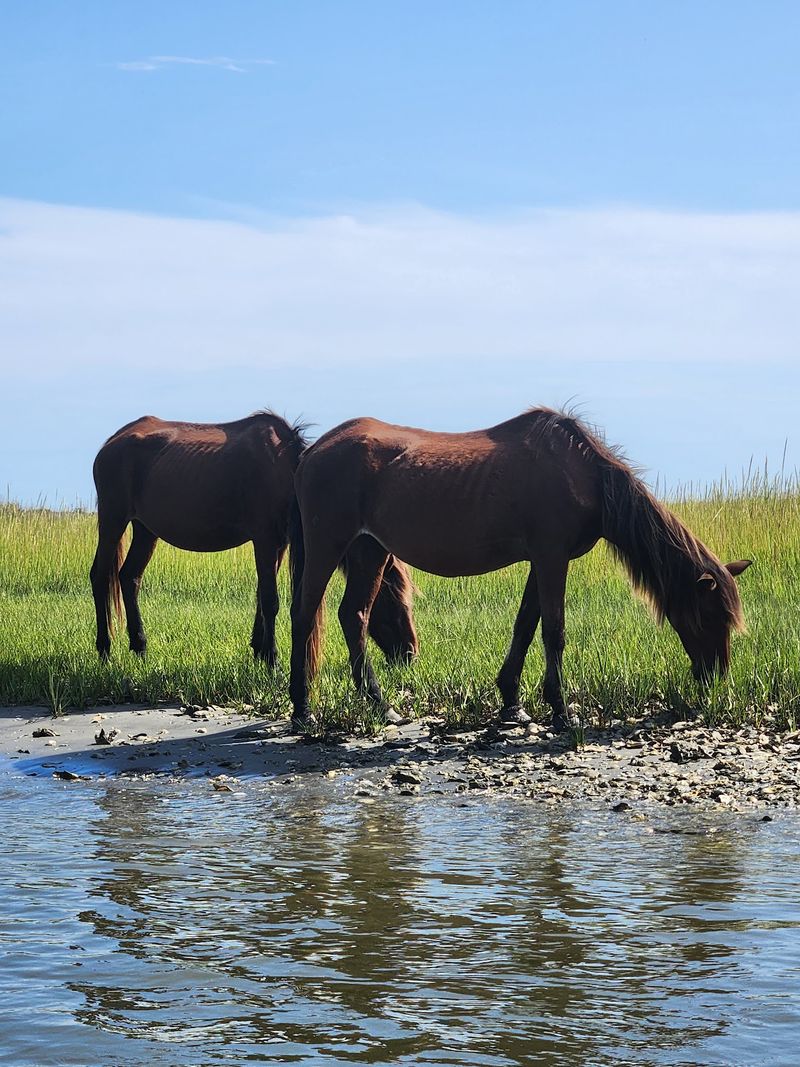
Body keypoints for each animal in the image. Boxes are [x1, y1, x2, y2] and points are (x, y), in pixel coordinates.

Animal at [90, 411, 418, 671]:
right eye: (394, 600)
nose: (411, 654)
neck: (287, 470)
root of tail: (110, 443)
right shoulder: (264, 539)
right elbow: (271, 599)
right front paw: (272, 658)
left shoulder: (279, 544)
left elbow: (262, 595)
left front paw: (259, 649)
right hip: (113, 517)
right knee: (99, 575)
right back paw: (104, 649)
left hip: (146, 529)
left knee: (129, 577)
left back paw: (140, 646)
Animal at [288, 408, 751, 732]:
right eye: (709, 615)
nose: (716, 677)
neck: (582, 474)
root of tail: (312, 452)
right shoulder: (552, 556)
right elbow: (554, 630)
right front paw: (561, 711)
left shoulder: (539, 560)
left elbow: (526, 624)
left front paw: (512, 701)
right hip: (329, 545)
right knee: (305, 614)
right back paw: (303, 709)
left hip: (370, 550)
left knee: (355, 616)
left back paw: (380, 705)